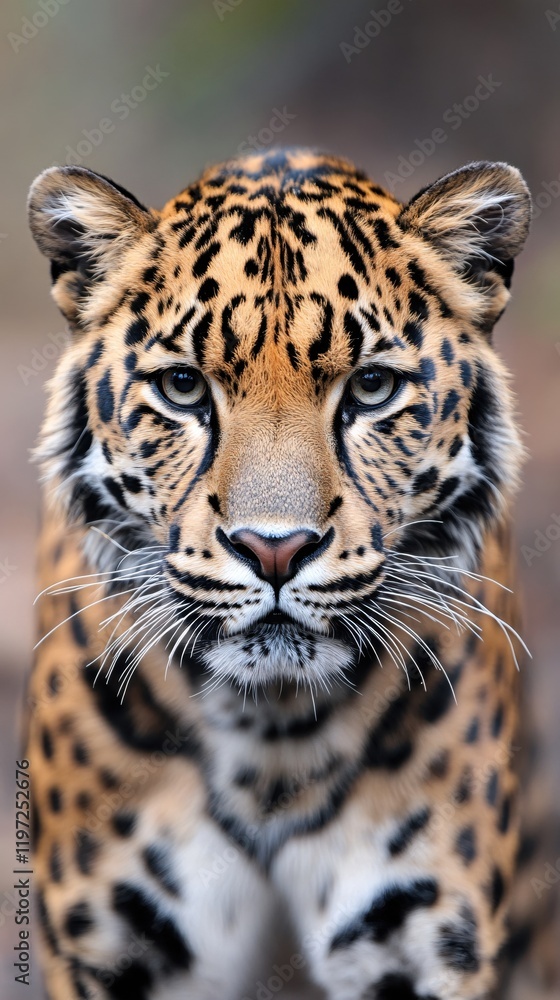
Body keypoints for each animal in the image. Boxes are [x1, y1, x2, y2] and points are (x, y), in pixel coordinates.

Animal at [25, 147, 547, 1000]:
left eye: (372, 387)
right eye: (182, 387)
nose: (274, 548)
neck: (272, 739)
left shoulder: (424, 942)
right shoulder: (111, 945)